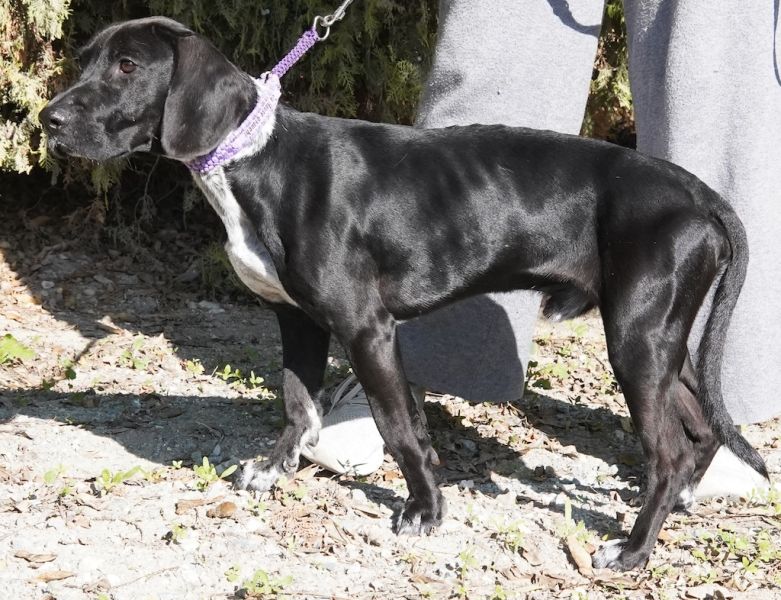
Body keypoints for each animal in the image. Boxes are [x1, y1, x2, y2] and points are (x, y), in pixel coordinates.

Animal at [40, 17, 769, 571]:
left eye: (128, 67)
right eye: (86, 61)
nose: (48, 119)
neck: (257, 159)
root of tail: (697, 192)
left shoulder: (366, 326)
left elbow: (399, 428)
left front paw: (423, 510)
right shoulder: (296, 321)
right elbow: (298, 406)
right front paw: (274, 470)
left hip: (636, 338)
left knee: (667, 449)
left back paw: (634, 549)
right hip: (658, 340)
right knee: (701, 427)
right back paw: (680, 503)